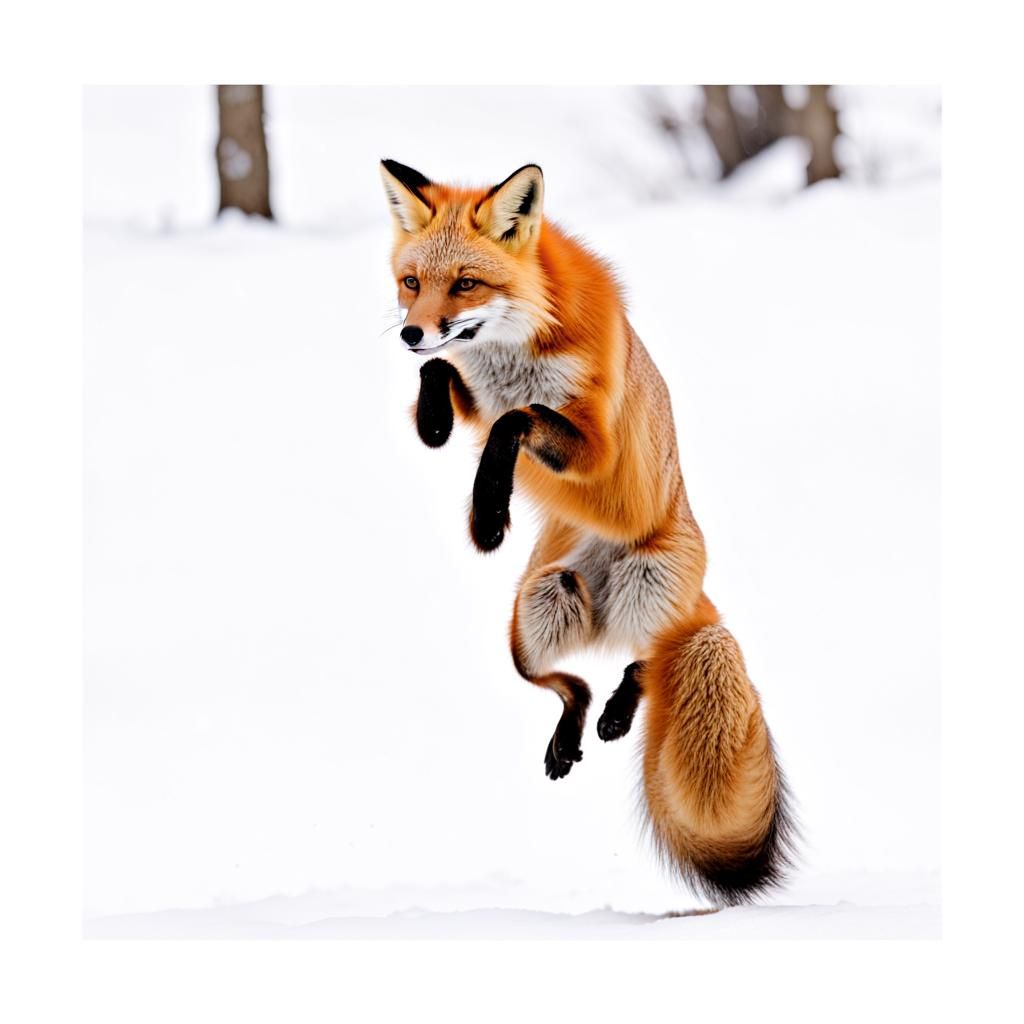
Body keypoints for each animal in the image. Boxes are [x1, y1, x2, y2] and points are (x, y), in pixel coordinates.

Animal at [380, 158, 796, 905]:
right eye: (411, 282)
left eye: (466, 283)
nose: (410, 332)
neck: (514, 353)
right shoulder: (472, 390)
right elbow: (444, 377)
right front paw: (437, 429)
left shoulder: (591, 442)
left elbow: (516, 420)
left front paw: (490, 513)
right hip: (533, 614)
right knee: (570, 684)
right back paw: (574, 733)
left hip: (651, 588)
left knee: (644, 663)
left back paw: (618, 713)